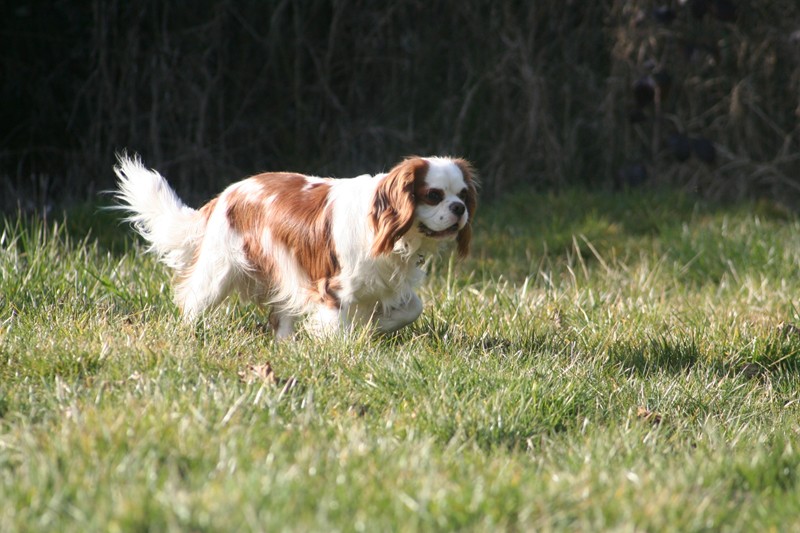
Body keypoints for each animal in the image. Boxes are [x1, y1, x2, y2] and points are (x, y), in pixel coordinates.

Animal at [112, 154, 476, 338]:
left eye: (463, 195)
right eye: (434, 195)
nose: (459, 208)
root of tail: (226, 194)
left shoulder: (389, 283)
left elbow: (414, 307)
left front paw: (377, 325)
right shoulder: (332, 287)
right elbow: (337, 329)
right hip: (219, 272)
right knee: (192, 302)